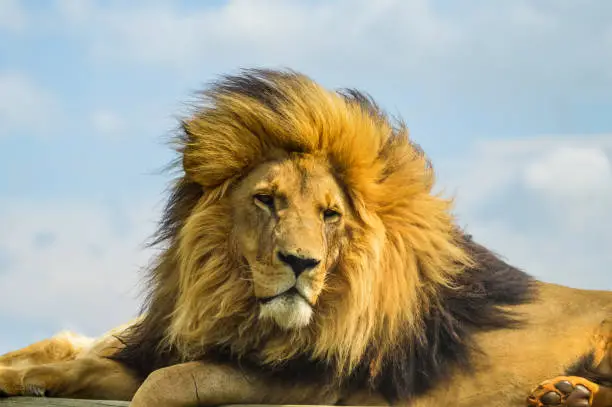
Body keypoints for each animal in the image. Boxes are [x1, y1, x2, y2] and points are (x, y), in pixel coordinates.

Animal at [1, 68, 612, 406]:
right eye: (266, 200)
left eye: (330, 215)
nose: (301, 263)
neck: (232, 300)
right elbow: (82, 363)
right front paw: (27, 379)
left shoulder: (311, 385)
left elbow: (168, 384)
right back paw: (563, 394)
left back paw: (570, 394)